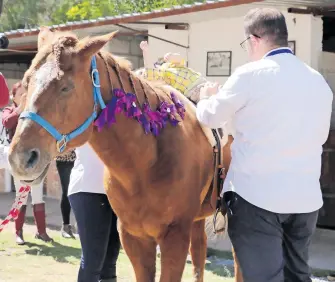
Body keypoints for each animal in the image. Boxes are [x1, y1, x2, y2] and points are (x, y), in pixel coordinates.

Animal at [9, 28, 240, 282]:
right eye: (27, 82)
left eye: (66, 87)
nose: (20, 158)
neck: (146, 162)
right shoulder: (133, 237)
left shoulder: (175, 236)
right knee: (199, 254)